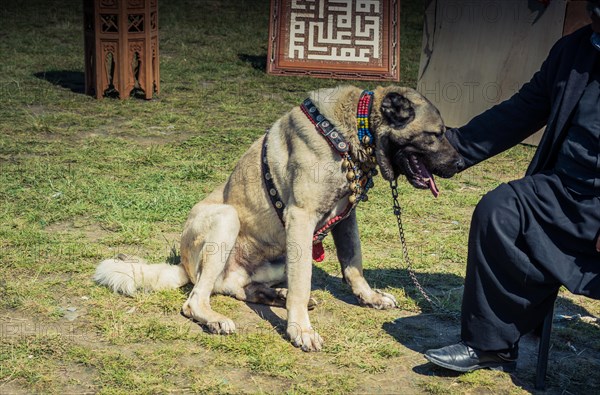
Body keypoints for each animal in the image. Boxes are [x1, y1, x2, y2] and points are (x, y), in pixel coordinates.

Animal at [95, 86, 464, 352]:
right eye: (435, 134)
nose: (460, 162)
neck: (350, 133)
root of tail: (184, 266)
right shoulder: (301, 218)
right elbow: (304, 283)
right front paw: (300, 330)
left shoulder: (347, 217)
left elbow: (353, 263)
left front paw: (368, 297)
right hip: (229, 220)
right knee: (196, 298)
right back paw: (218, 318)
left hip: (280, 256)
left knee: (235, 288)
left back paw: (275, 296)